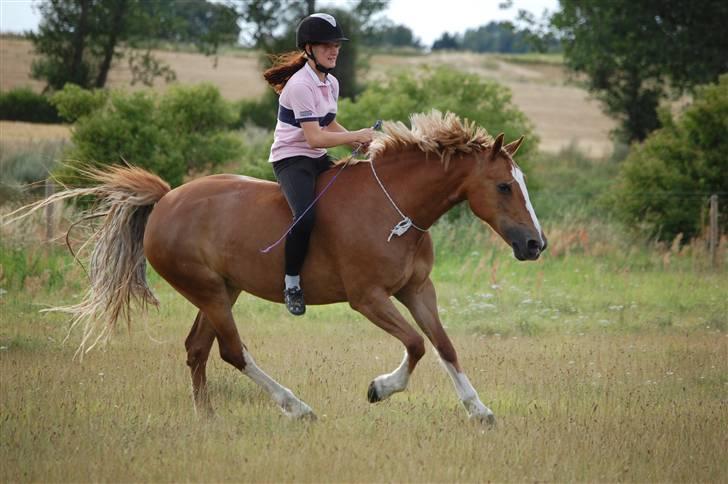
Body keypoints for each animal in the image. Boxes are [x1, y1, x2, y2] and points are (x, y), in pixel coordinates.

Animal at [11, 109, 544, 424]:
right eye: (503, 186)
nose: (535, 244)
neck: (394, 209)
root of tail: (164, 201)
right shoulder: (368, 299)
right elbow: (414, 345)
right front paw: (379, 388)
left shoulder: (418, 291)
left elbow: (444, 345)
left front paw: (479, 410)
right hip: (210, 292)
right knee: (231, 352)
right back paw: (296, 407)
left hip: (222, 291)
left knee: (197, 350)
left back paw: (207, 418)